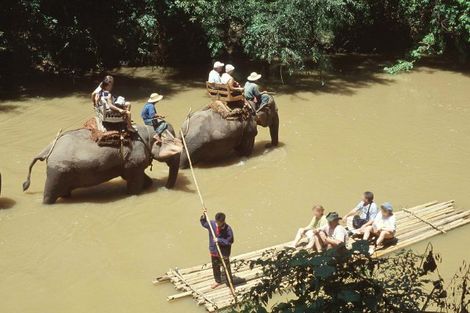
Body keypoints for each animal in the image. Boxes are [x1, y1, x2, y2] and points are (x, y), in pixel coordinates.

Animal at [21, 123, 180, 204]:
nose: (165, 188)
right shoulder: (134, 159)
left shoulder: (130, 162)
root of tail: (49, 148)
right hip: (56, 172)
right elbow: (134, 182)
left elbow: (134, 176)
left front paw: (149, 184)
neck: (147, 130)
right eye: (174, 150)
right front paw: (133, 193)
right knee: (50, 195)